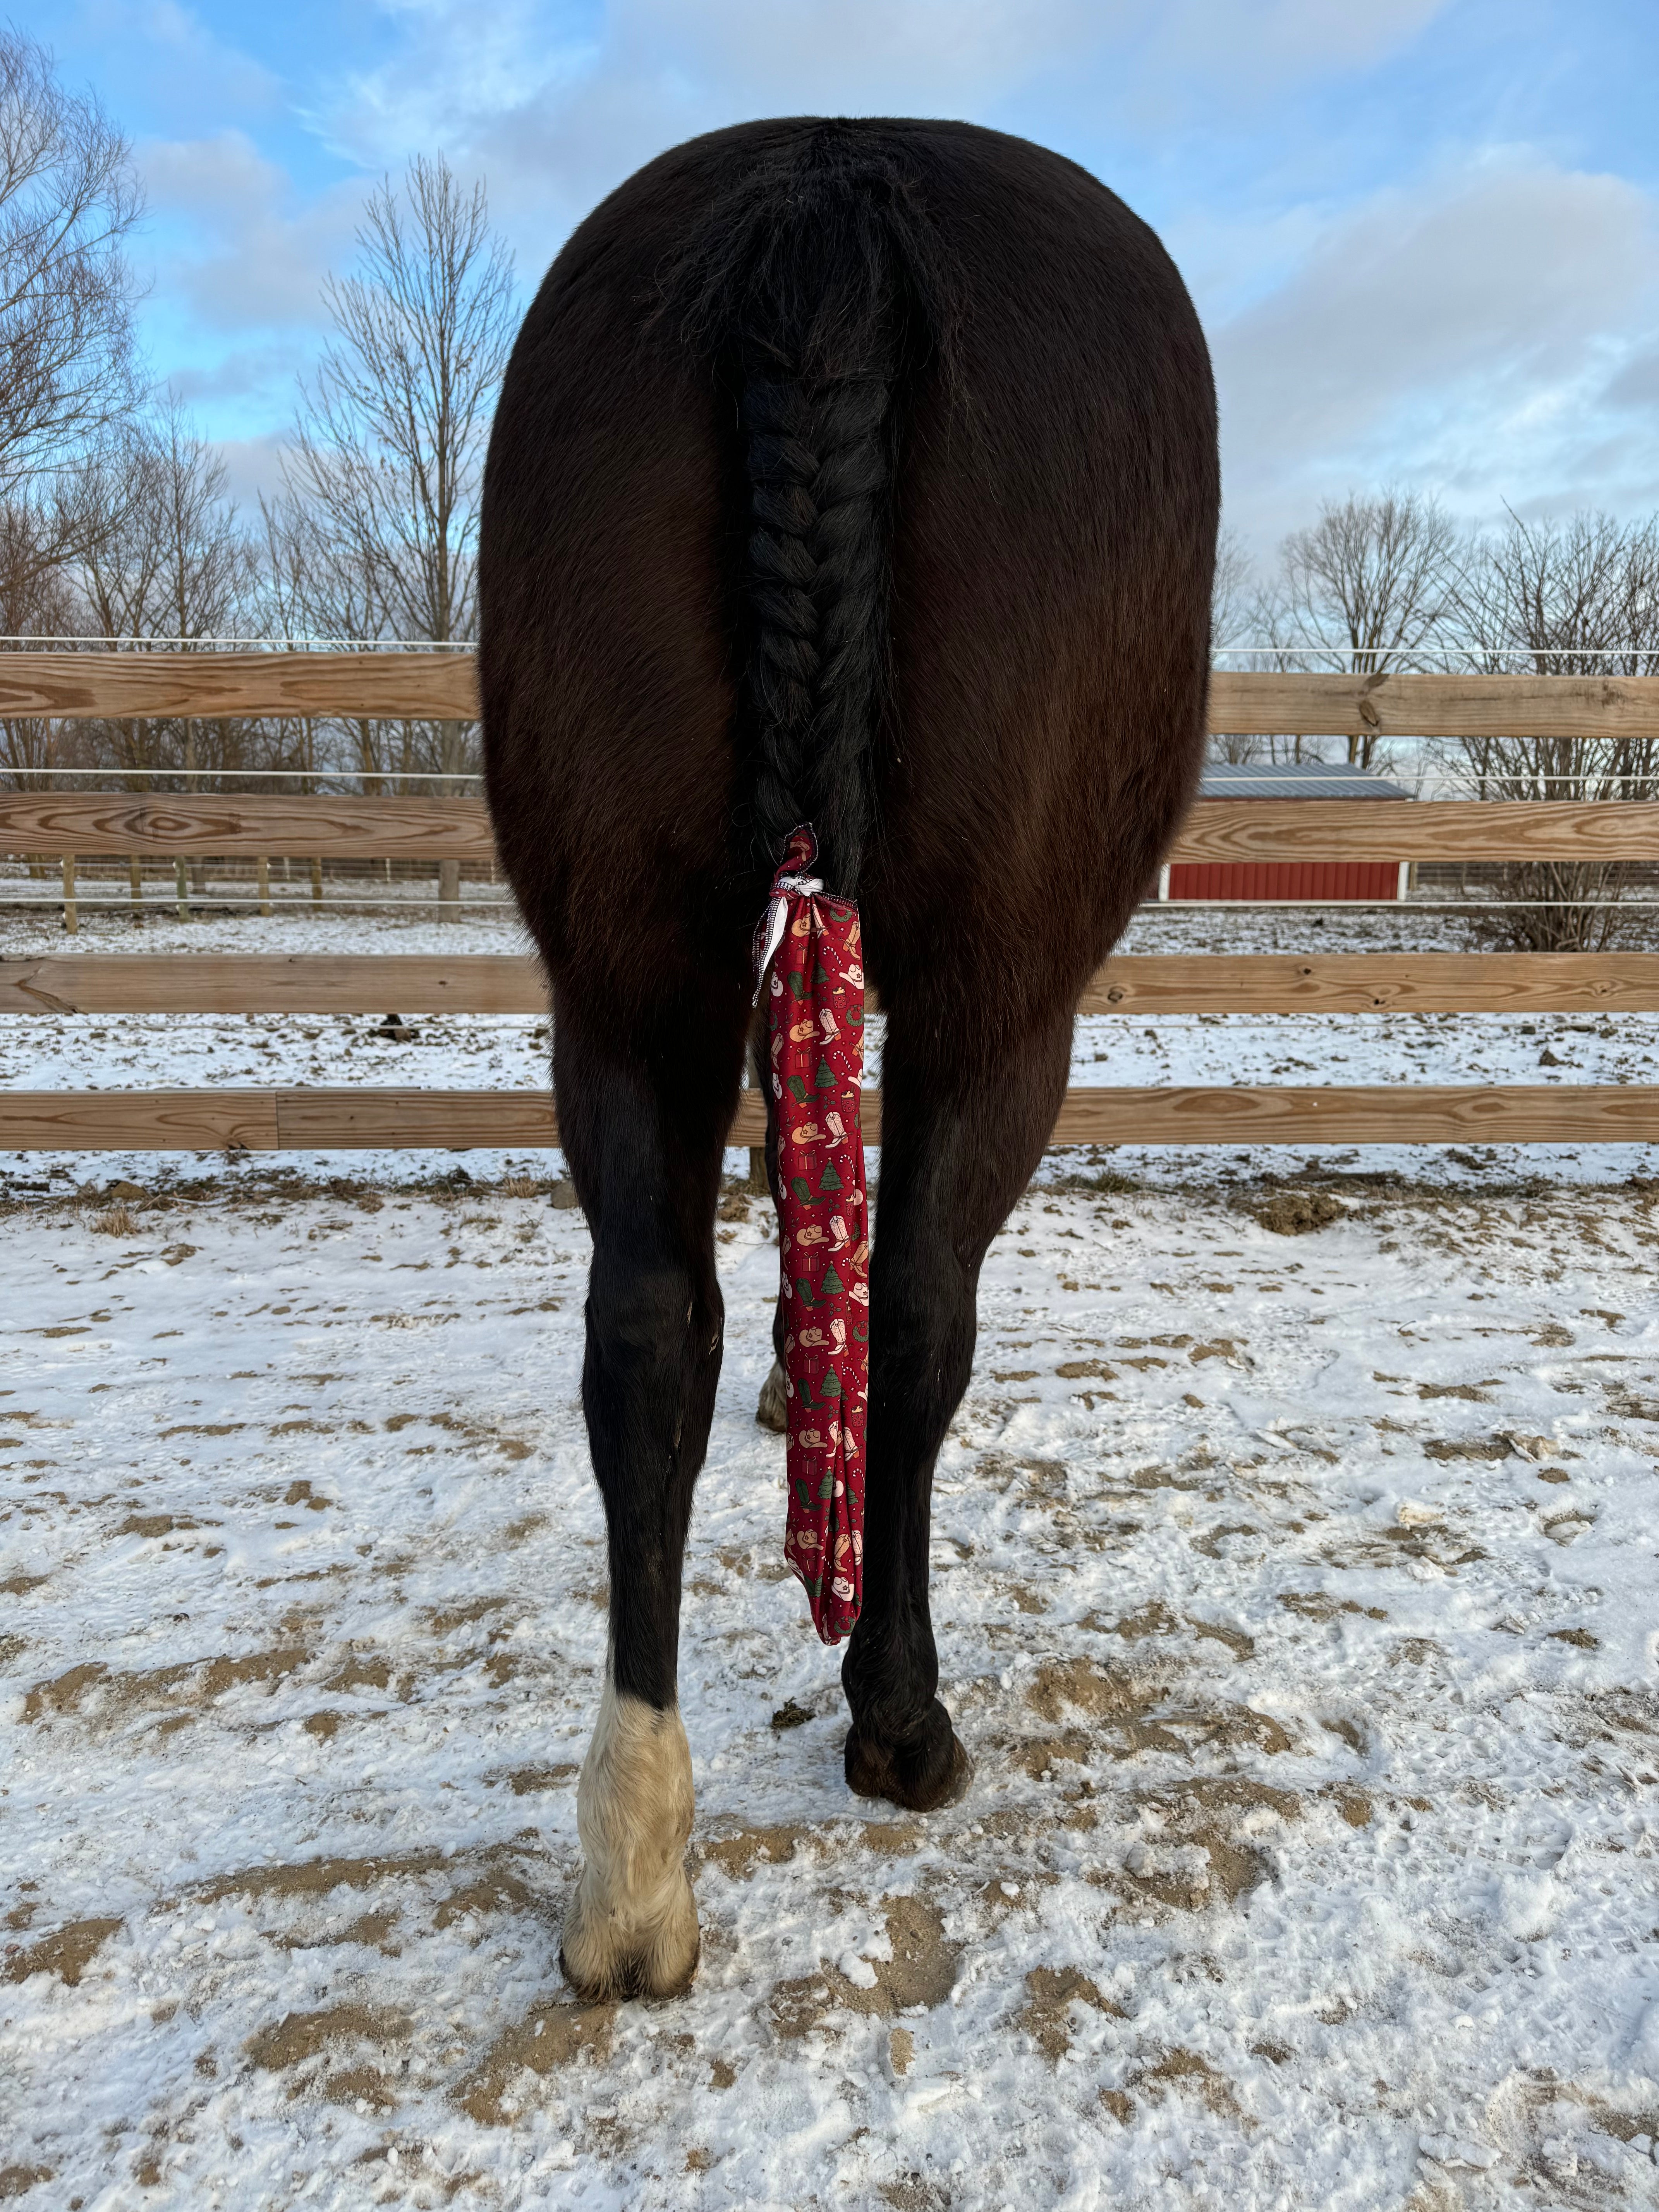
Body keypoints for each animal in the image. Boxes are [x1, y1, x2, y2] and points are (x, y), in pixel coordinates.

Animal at [480, 112, 1221, 1999]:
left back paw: (631, 1871)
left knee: (644, 1330)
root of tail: (836, 184)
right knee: (917, 1308)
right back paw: (898, 1716)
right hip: (1001, 1000)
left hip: (621, 973)